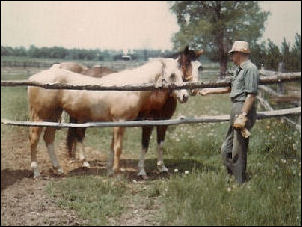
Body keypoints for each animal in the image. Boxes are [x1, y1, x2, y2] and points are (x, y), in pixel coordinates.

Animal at [28, 56, 189, 177]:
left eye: (182, 74)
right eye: (172, 75)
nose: (185, 96)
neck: (131, 88)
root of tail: (33, 78)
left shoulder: (117, 123)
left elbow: (112, 146)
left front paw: (110, 171)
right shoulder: (121, 122)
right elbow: (118, 147)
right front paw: (117, 173)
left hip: (53, 116)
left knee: (48, 139)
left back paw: (59, 169)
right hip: (41, 116)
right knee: (34, 140)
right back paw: (36, 172)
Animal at [63, 46, 203, 178]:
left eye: (199, 67)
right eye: (186, 63)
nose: (187, 94)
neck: (157, 93)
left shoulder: (164, 122)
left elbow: (160, 144)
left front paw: (162, 167)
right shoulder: (148, 122)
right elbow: (145, 145)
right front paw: (141, 171)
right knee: (80, 134)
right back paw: (84, 162)